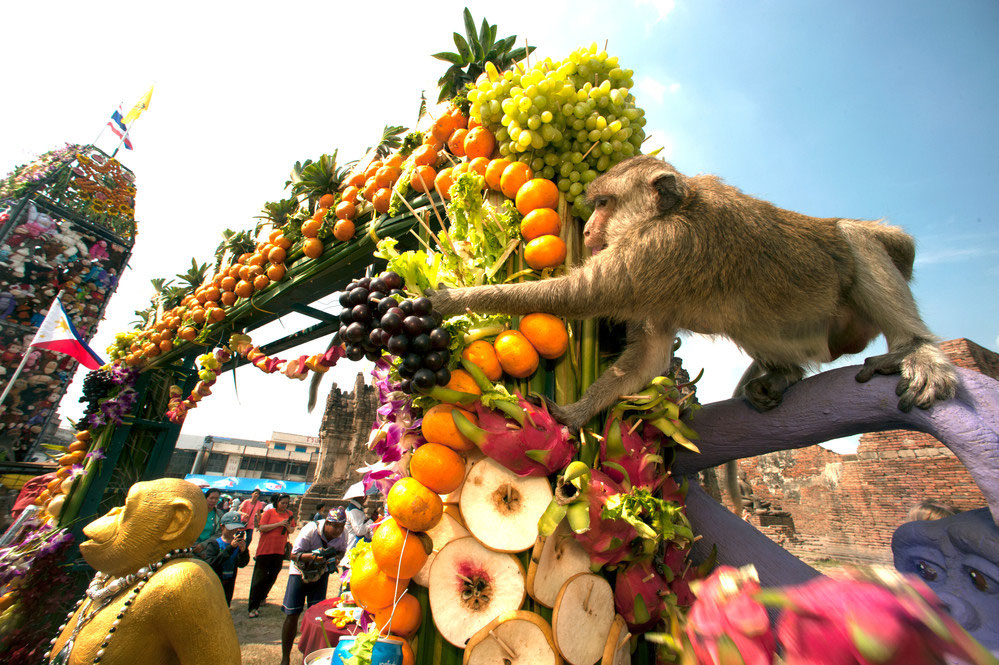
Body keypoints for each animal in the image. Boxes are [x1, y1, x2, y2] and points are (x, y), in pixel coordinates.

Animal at [430, 154, 960, 436]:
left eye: (604, 203)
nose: (593, 228)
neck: (669, 213)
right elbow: (647, 356)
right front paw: (577, 414)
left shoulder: (665, 248)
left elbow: (582, 295)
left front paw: (451, 301)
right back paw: (784, 375)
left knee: (855, 238)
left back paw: (916, 350)